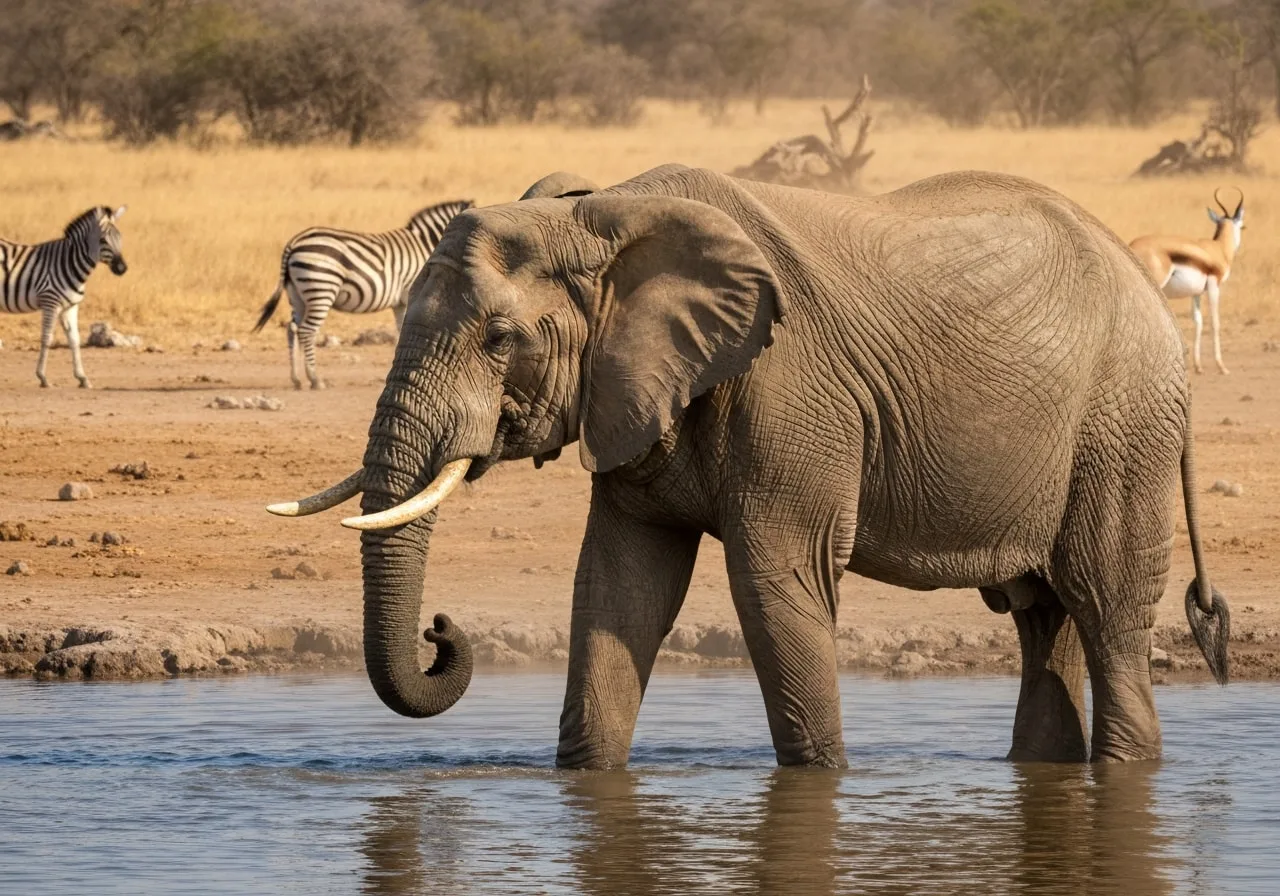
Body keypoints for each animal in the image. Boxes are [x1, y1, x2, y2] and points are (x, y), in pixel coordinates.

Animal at [269, 163, 1230, 769]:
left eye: (500, 339)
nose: (441, 630)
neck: (600, 213)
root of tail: (1141, 275)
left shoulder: (791, 389)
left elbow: (776, 582)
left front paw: (816, 782)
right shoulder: (635, 391)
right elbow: (618, 587)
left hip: (1122, 423)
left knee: (1104, 605)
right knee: (1044, 619)